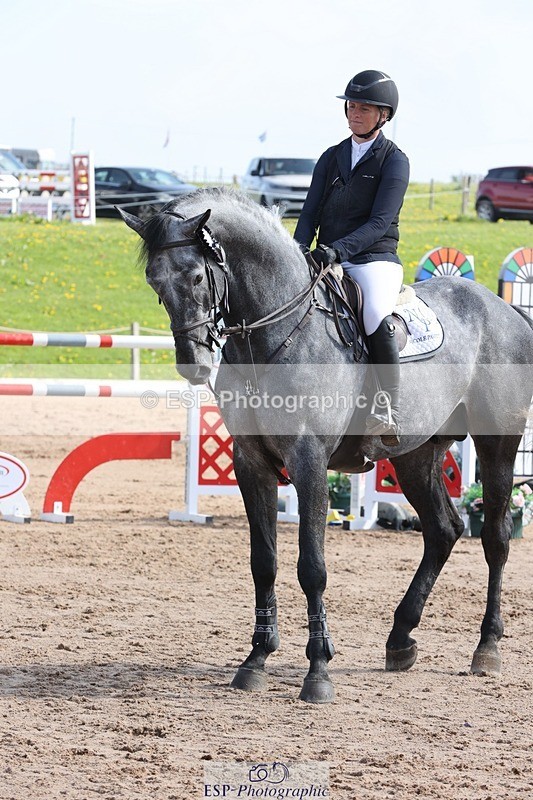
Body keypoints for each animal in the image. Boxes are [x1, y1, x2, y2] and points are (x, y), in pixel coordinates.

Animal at [120, 187, 533, 704]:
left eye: (196, 276)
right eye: (154, 281)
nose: (192, 364)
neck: (272, 330)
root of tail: (504, 309)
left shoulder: (309, 459)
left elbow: (311, 567)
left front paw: (318, 671)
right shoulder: (250, 462)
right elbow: (264, 563)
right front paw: (256, 659)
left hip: (498, 441)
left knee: (495, 537)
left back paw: (486, 648)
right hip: (416, 454)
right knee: (443, 530)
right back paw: (400, 640)